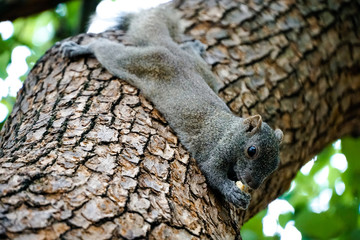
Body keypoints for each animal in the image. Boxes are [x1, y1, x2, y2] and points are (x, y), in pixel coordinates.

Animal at [59, 6, 284, 210]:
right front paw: (233, 193)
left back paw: (194, 47)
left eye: (275, 165)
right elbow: (212, 172)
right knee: (106, 50)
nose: (253, 183)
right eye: (252, 150)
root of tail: (174, 53)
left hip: (204, 74)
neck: (234, 131)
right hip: (147, 60)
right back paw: (81, 48)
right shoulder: (217, 147)